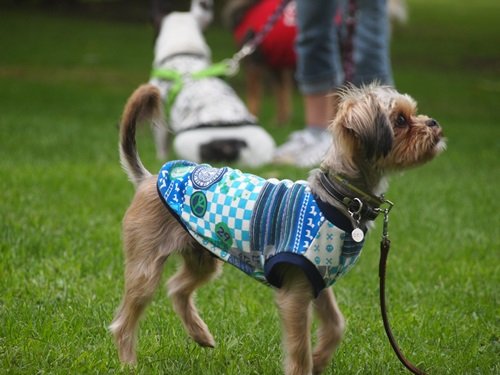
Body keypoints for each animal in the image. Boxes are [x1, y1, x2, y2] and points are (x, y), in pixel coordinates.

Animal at [110, 83, 446, 374]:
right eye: (400, 120)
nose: (434, 123)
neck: (339, 197)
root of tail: (148, 178)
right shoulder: (296, 291)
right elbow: (298, 350)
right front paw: (308, 364)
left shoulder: (318, 281)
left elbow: (336, 325)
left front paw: (320, 359)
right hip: (146, 268)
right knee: (125, 321)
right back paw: (129, 363)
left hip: (202, 255)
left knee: (177, 288)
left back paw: (200, 334)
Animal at [148, 0, 276, 167]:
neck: (184, 52)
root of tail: (231, 144)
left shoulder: (160, 114)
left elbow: (161, 143)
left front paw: (161, 158)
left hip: (183, 142)